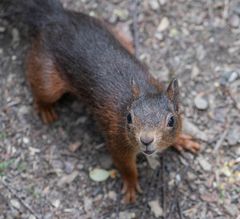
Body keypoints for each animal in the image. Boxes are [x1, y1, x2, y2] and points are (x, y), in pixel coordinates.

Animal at [1, 0, 201, 203]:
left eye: (172, 120)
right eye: (129, 118)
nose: (146, 140)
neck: (147, 90)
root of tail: (55, 16)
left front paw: (182, 140)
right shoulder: (117, 140)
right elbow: (125, 166)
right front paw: (131, 185)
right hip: (46, 73)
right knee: (38, 84)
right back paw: (45, 108)